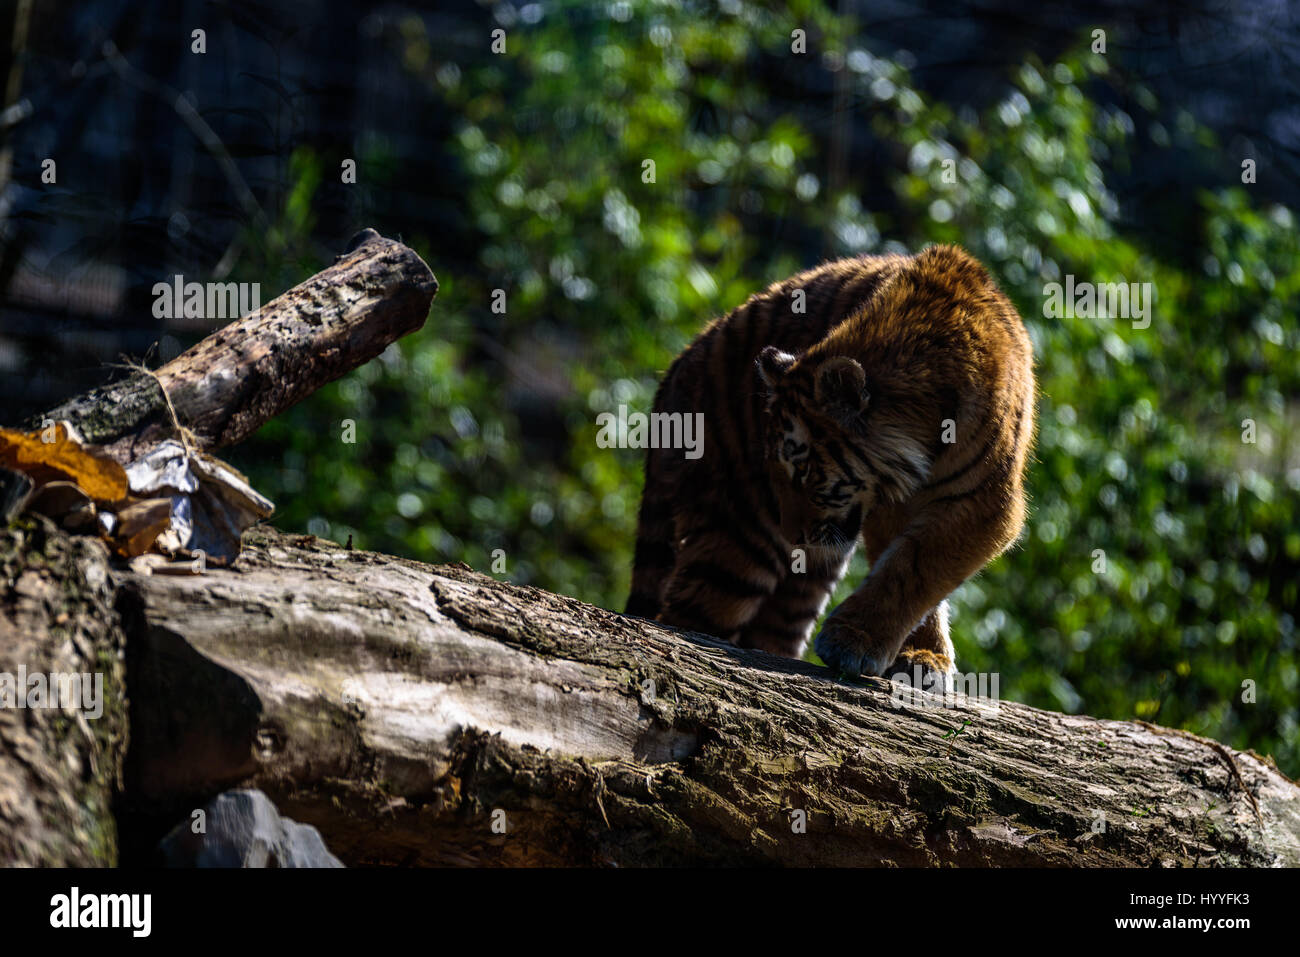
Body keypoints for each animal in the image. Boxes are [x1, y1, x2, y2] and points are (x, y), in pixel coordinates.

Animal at [621, 243, 1034, 686]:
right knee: (686, 616)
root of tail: (676, 367)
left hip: (803, 581)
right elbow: (905, 567)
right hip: (739, 542)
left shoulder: (985, 501)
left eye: (804, 471)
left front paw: (912, 656)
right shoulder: (892, 503)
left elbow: (915, 568)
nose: (792, 535)